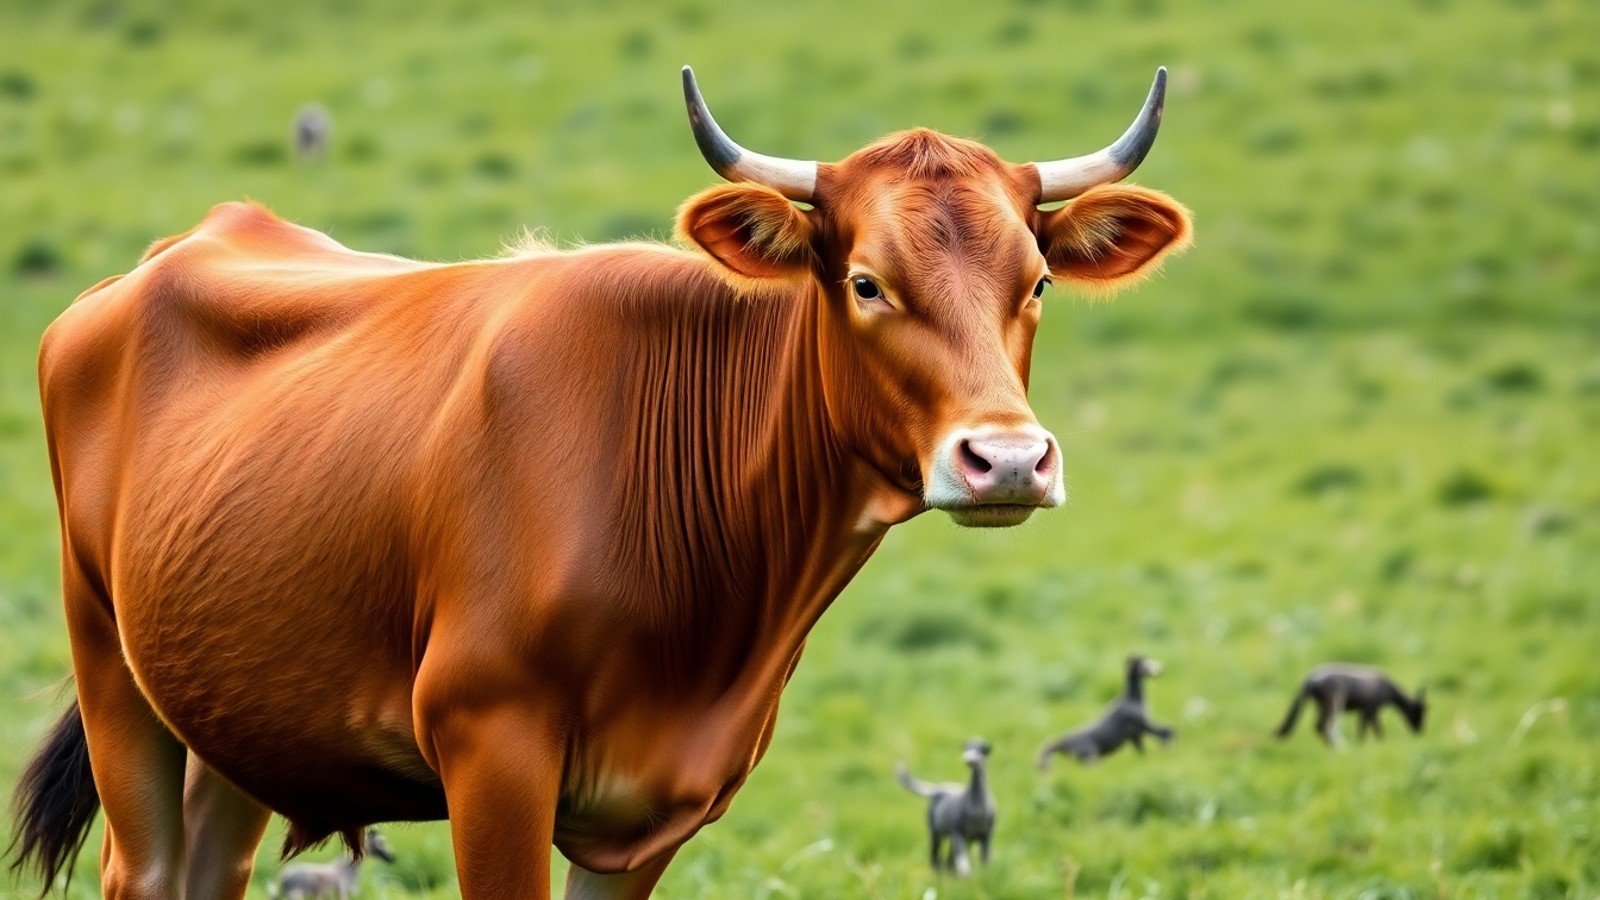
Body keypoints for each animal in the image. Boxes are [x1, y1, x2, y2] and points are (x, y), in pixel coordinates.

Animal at [10, 66, 1190, 899]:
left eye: (1036, 282)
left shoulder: (654, 808)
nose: (1008, 460)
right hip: (111, 668)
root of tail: (187, 241)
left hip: (236, 715)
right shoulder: (490, 755)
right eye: (865, 282)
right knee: (144, 870)